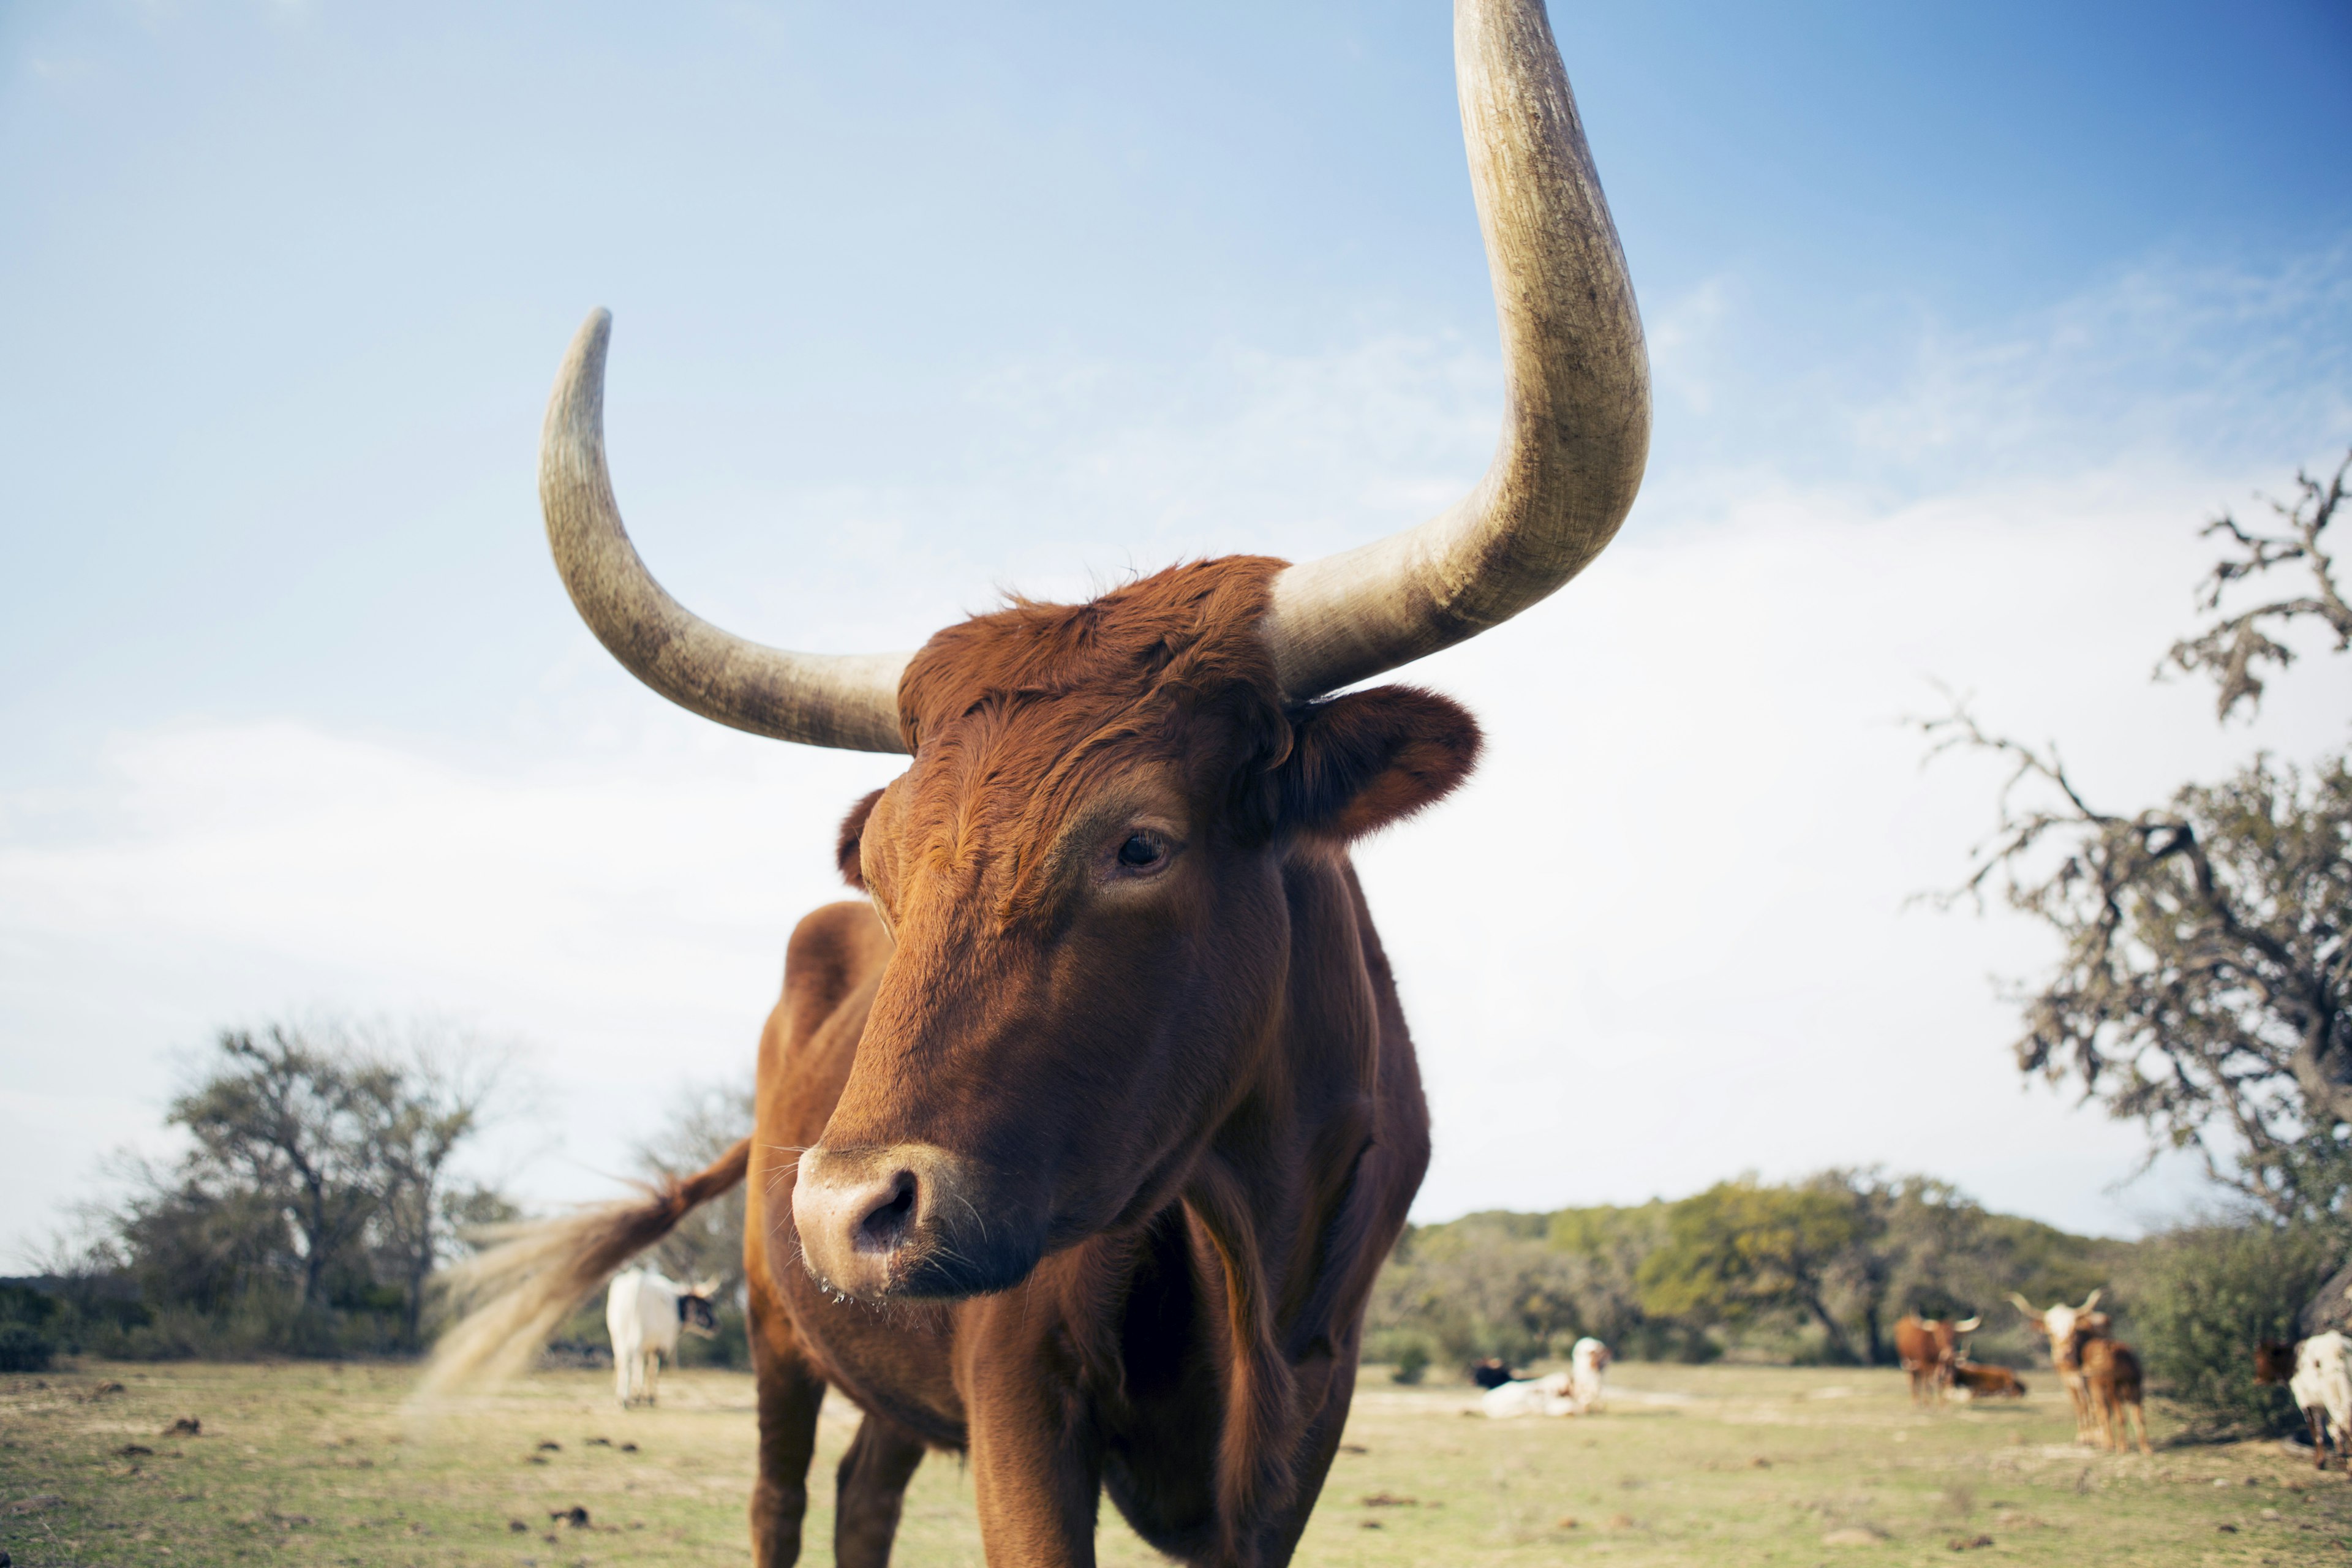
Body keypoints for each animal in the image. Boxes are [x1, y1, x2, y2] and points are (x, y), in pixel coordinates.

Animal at [602, 1260, 720, 1410]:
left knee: (622, 1361)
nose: (717, 1326)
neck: (676, 1304)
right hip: (638, 1337)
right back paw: (627, 1399)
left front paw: (638, 1396)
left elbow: (642, 1368)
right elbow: (653, 1370)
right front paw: (648, 1398)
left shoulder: (648, 1346)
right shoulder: (663, 1345)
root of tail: (636, 1281)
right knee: (632, 1361)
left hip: (618, 1336)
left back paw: (621, 1398)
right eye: (705, 1306)